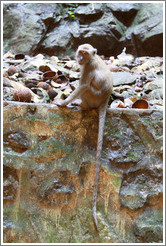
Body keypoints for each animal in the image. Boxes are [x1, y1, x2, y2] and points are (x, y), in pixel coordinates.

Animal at [55, 44, 113, 233]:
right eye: (80, 52)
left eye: (84, 54)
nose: (80, 58)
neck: (91, 59)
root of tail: (105, 100)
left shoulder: (87, 69)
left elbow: (83, 86)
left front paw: (63, 103)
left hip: (93, 98)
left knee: (87, 89)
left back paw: (82, 106)